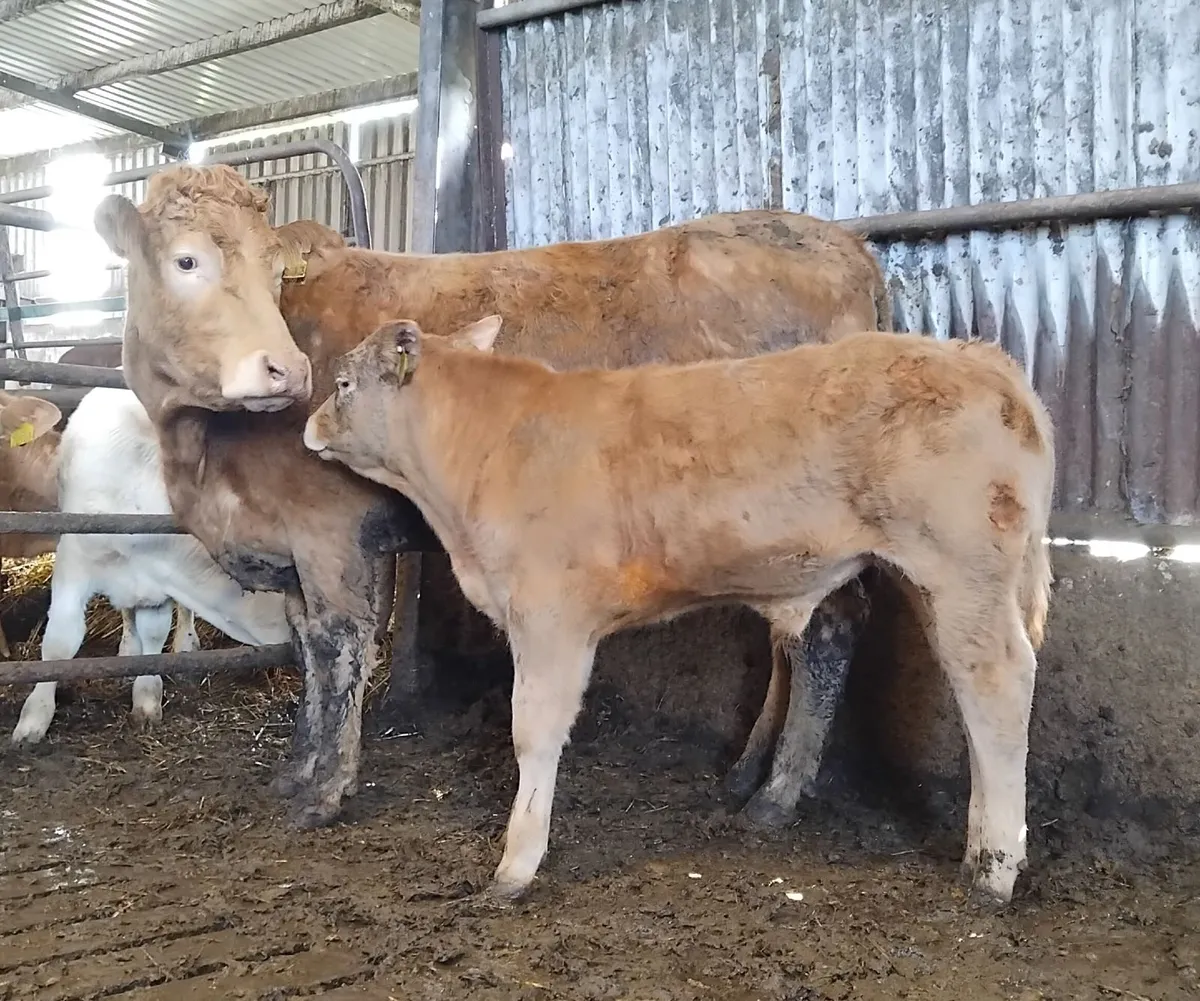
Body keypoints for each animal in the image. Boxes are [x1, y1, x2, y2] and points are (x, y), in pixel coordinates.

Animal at [10, 387, 292, 745]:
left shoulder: (156, 585)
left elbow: (155, 634)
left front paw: (146, 697)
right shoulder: (74, 560)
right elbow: (60, 641)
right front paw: (34, 719)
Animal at [92, 163, 892, 829]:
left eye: (271, 269)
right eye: (187, 260)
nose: (284, 369)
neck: (201, 451)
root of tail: (843, 248)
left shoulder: (329, 533)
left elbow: (338, 646)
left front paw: (326, 789)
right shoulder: (289, 549)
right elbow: (307, 650)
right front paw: (296, 768)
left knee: (827, 630)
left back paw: (778, 795)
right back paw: (747, 772)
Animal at [302, 317, 1055, 907]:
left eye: (343, 384)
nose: (308, 425)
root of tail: (980, 357)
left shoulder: (550, 616)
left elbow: (533, 733)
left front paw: (515, 866)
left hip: (962, 569)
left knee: (999, 686)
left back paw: (994, 871)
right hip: (933, 584)